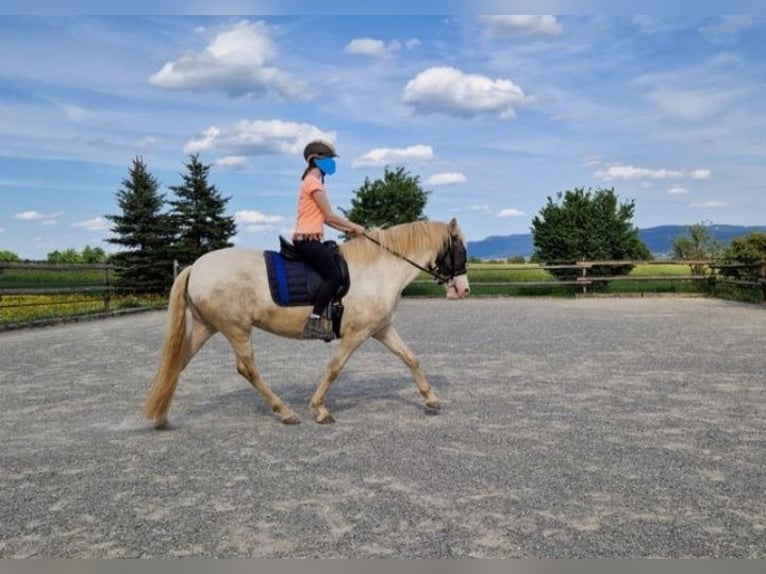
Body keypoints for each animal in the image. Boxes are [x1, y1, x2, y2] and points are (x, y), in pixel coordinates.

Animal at [142, 217, 472, 428]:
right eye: (460, 249)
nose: (464, 290)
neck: (378, 269)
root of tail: (196, 267)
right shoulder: (356, 333)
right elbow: (335, 368)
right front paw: (319, 409)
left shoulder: (381, 329)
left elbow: (410, 358)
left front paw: (431, 399)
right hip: (236, 328)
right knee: (247, 369)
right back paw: (285, 412)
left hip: (206, 326)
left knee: (179, 361)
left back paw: (161, 415)